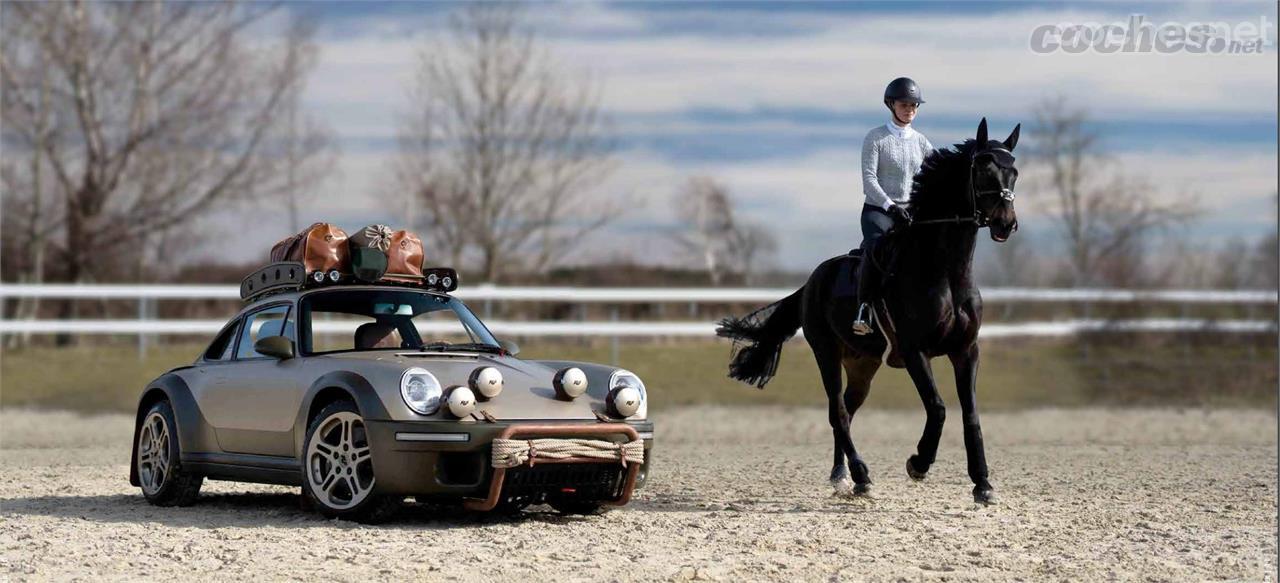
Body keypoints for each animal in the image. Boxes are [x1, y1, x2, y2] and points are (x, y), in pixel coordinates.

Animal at [721, 118, 1018, 507]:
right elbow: (937, 407)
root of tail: (813, 280)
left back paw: (843, 476)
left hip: (863, 363)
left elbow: (971, 414)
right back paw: (861, 476)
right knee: (838, 410)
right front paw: (918, 464)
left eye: (1014, 171)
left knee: (847, 409)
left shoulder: (966, 350)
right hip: (826, 353)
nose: (1005, 223)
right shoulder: (914, 351)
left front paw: (982, 483)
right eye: (983, 169)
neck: (945, 272)